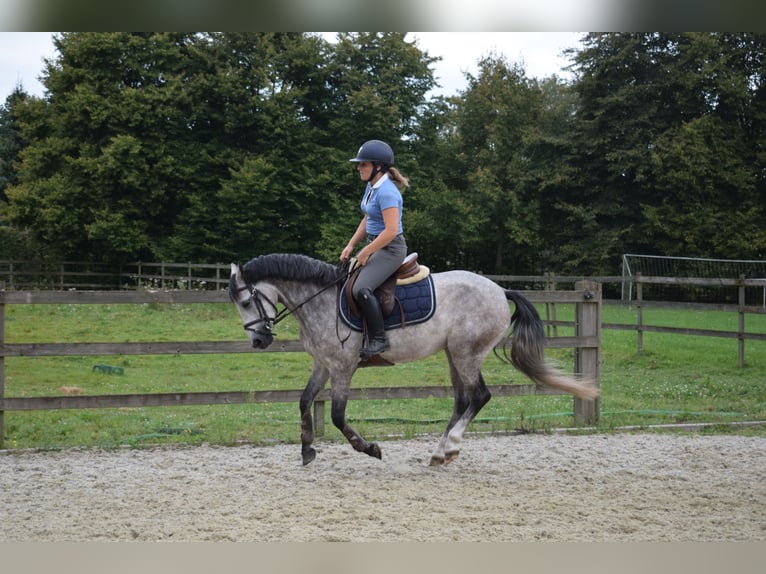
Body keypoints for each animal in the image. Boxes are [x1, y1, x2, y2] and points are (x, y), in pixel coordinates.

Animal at [228, 256, 600, 468]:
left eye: (246, 301)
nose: (258, 341)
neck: (321, 300)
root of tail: (499, 290)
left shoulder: (343, 367)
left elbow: (336, 416)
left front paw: (369, 448)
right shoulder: (323, 364)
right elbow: (305, 401)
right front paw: (307, 449)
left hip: (467, 353)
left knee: (479, 396)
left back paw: (451, 447)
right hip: (453, 354)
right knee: (462, 400)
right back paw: (439, 453)